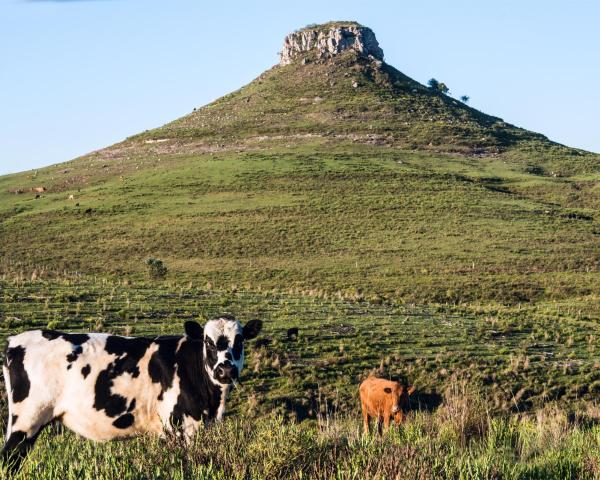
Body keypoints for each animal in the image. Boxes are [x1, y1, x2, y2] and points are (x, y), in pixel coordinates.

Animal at [1, 316, 262, 468]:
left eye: (239, 341)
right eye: (208, 342)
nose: (225, 369)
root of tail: (17, 340)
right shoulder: (181, 428)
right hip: (26, 421)